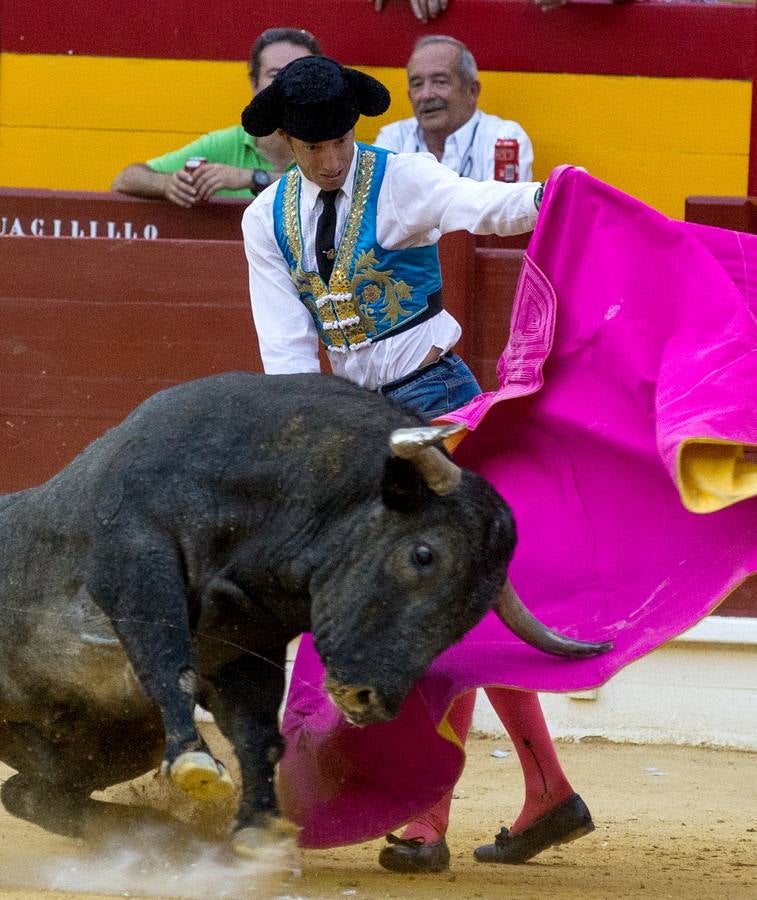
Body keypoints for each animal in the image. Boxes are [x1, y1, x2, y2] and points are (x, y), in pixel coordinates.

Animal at [0, 370, 608, 856]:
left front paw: (257, 826)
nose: (369, 699)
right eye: (423, 554)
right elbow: (168, 661)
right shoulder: (134, 561)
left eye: (470, 616)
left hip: (113, 742)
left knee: (33, 793)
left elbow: (257, 731)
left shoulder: (249, 644)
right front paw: (197, 766)